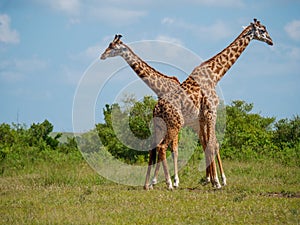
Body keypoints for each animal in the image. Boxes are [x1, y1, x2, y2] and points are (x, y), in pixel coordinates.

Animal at [99, 35, 226, 190]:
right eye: (108, 45)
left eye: (112, 46)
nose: (102, 55)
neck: (161, 88)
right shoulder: (161, 122)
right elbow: (156, 150)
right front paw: (152, 182)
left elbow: (174, 150)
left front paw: (174, 181)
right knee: (207, 142)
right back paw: (209, 178)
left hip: (197, 122)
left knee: (211, 143)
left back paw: (219, 179)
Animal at [146, 18, 274, 190]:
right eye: (262, 30)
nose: (271, 41)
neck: (215, 75)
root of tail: (157, 108)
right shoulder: (211, 112)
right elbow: (213, 144)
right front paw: (218, 182)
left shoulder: (202, 117)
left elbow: (208, 144)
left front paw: (213, 180)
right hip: (174, 124)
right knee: (162, 147)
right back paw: (169, 183)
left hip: (160, 125)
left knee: (156, 148)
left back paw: (152, 184)